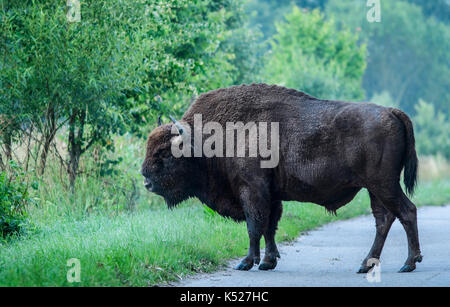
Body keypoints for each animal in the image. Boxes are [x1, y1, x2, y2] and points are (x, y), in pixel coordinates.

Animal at [141, 83, 422, 274]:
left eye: (165, 152)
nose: (146, 181)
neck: (207, 140)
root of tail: (392, 112)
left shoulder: (251, 189)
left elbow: (255, 225)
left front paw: (246, 262)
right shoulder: (271, 194)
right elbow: (269, 227)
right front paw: (268, 261)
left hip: (383, 185)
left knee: (406, 211)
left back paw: (409, 263)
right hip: (375, 188)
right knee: (384, 219)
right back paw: (366, 265)